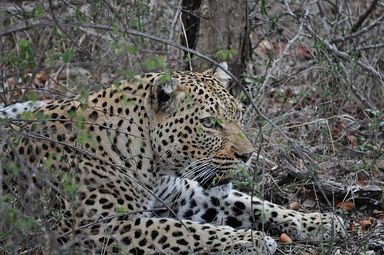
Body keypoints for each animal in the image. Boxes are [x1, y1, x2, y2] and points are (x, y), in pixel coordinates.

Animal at [0, 64, 344, 254]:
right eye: (209, 123)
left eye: (238, 114)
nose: (247, 156)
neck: (153, 164)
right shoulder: (99, 226)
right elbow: (185, 231)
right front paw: (254, 241)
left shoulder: (184, 195)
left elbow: (256, 204)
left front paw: (322, 222)